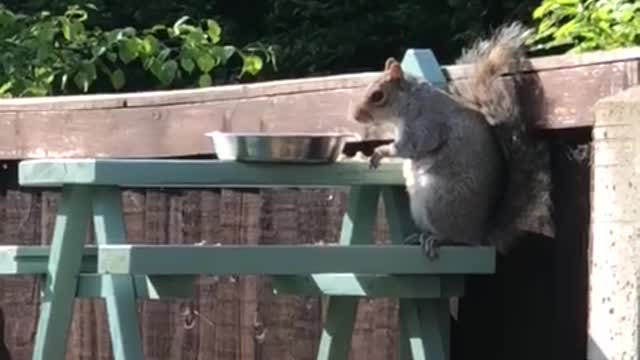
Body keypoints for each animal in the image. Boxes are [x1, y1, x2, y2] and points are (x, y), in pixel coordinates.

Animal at [350, 21, 556, 258]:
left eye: (377, 95)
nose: (355, 116)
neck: (410, 101)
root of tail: (479, 233)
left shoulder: (427, 124)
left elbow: (413, 146)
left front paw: (380, 152)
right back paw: (418, 237)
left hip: (439, 202)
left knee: (458, 240)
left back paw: (438, 239)